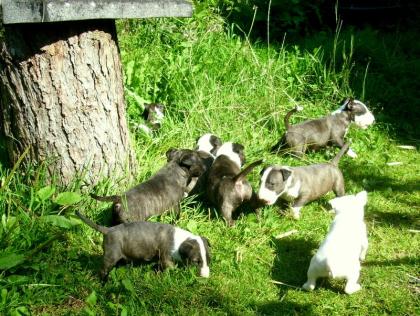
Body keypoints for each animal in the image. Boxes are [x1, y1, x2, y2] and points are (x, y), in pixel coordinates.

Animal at [75, 211, 210, 280]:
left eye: (209, 260)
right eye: (196, 261)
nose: (206, 277)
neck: (181, 241)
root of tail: (108, 230)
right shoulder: (166, 256)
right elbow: (171, 267)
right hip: (110, 255)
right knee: (103, 270)